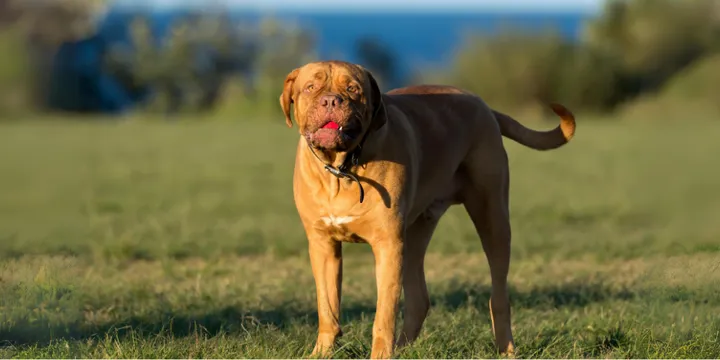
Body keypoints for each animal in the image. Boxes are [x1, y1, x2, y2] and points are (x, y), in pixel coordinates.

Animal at [278, 60, 576, 358]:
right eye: (310, 87)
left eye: (353, 89)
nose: (331, 100)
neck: (341, 170)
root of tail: (485, 107)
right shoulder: (323, 245)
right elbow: (327, 307)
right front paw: (322, 353)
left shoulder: (388, 245)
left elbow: (384, 314)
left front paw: (381, 355)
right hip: (416, 232)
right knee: (419, 299)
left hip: (493, 218)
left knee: (499, 295)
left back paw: (506, 349)